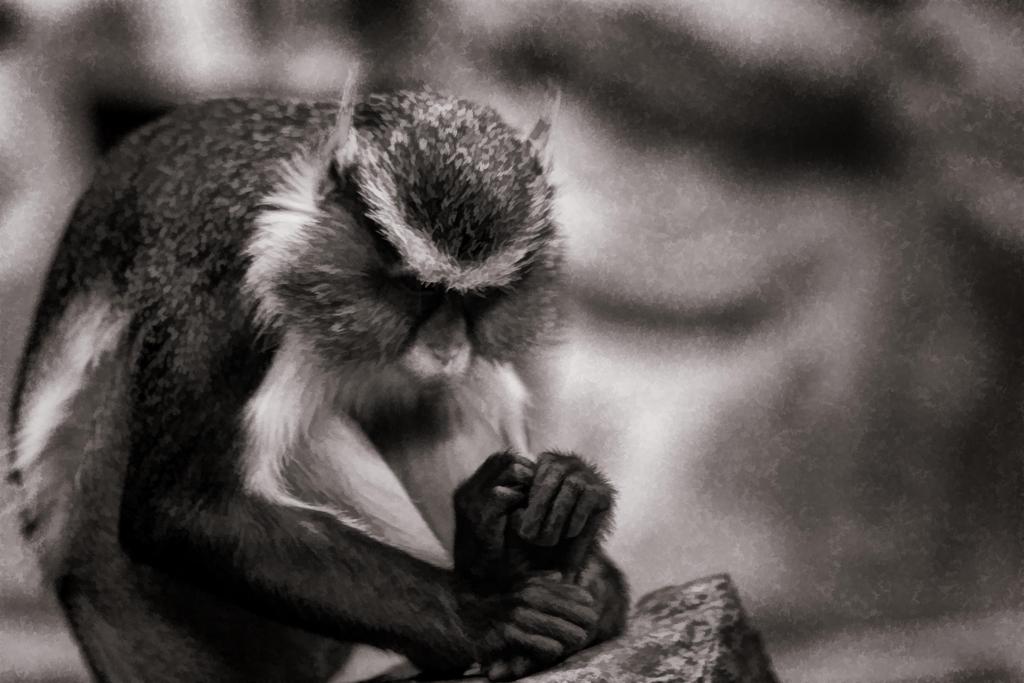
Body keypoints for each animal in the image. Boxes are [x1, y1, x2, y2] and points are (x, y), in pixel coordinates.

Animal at [6, 84, 628, 682]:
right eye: (416, 290)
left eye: (478, 299)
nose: (447, 347)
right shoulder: (225, 285)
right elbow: (184, 507)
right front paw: (483, 617)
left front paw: (591, 565)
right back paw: (494, 563)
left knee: (440, 401)